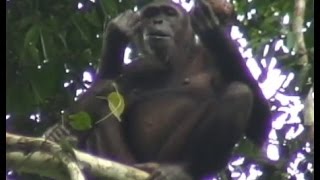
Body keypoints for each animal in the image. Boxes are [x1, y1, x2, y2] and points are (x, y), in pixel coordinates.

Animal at [43, 0, 272, 179]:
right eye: (152, 14)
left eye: (169, 13)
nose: (157, 21)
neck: (178, 59)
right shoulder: (137, 67)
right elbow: (108, 85)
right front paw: (117, 33)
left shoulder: (215, 61)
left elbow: (260, 124)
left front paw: (212, 29)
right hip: (124, 161)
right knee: (107, 91)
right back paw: (58, 136)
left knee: (240, 92)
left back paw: (182, 170)